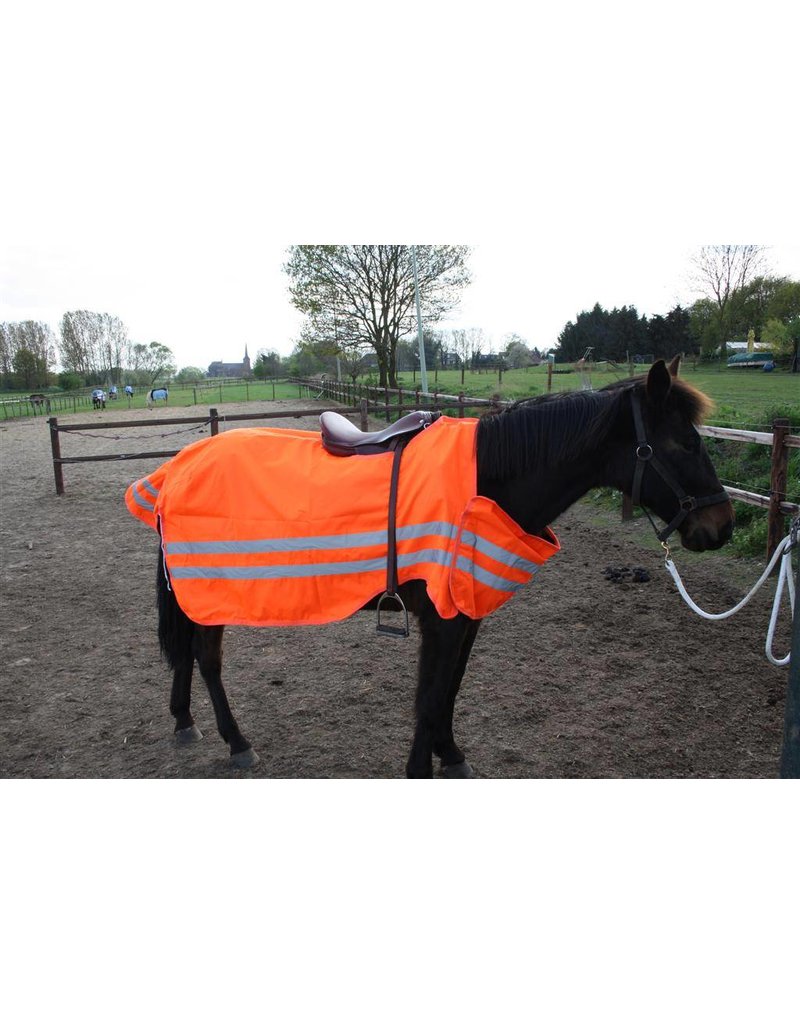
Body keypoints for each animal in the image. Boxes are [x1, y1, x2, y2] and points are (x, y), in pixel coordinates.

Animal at [129, 360, 729, 774]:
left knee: (188, 654)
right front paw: (423, 767)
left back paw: (184, 722)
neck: (487, 481)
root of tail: (178, 469)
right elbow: (429, 696)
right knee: (206, 658)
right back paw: (237, 743)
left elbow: (449, 691)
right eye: (685, 442)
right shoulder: (440, 620)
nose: (720, 526)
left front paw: (452, 754)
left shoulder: (466, 614)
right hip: (209, 590)